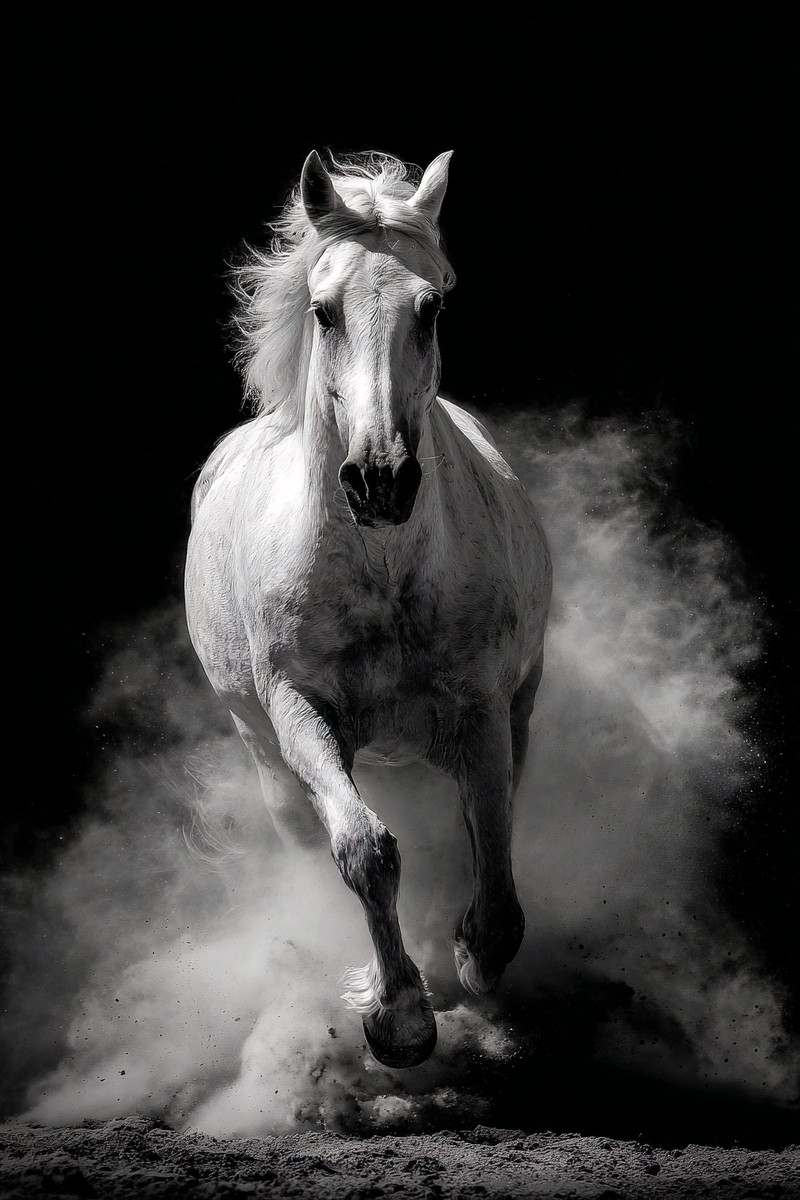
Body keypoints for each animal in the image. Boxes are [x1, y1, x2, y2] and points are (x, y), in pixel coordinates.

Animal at [184, 150, 552, 1069]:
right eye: (324, 312)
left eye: (433, 305)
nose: (380, 480)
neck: (384, 575)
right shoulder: (300, 711)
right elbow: (365, 850)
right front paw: (399, 1019)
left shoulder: (482, 709)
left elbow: (490, 840)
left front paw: (470, 957)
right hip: (267, 757)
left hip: (516, 708)